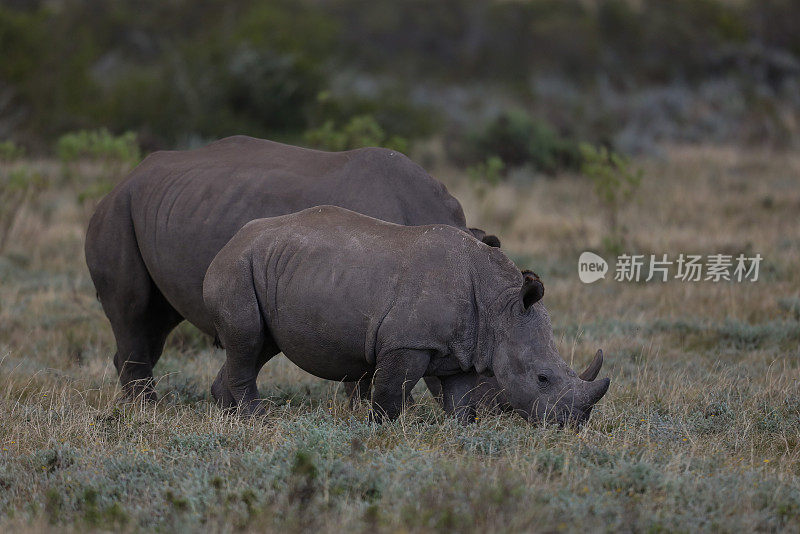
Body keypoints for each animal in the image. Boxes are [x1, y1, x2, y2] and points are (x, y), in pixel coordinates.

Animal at [84, 137, 496, 402]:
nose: (494, 411)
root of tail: (119, 182)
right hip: (117, 210)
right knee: (134, 311)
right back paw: (146, 410)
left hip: (161, 207)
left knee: (157, 321)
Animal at [203, 206, 608, 428]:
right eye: (543, 378)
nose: (572, 425)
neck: (500, 305)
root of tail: (230, 242)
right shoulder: (408, 343)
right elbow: (389, 396)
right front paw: (377, 434)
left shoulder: (464, 352)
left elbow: (462, 405)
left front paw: (462, 437)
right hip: (236, 268)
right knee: (248, 340)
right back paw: (257, 420)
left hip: (267, 267)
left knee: (259, 347)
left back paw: (228, 418)